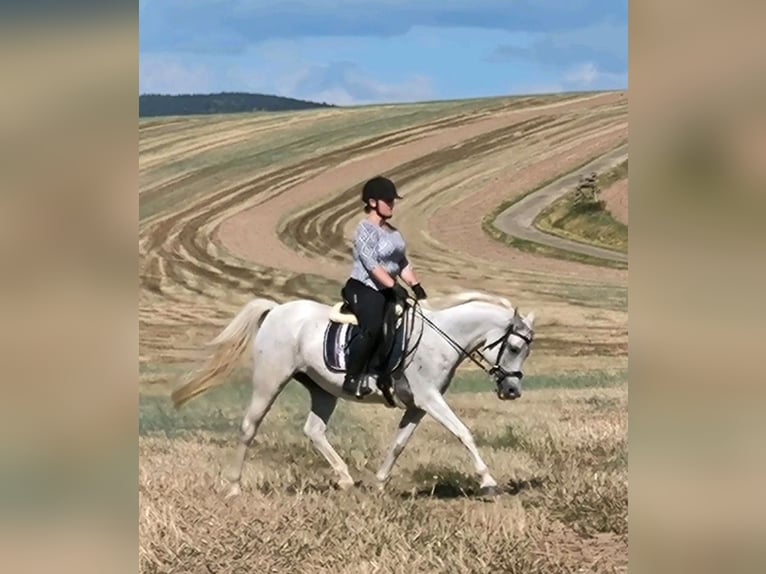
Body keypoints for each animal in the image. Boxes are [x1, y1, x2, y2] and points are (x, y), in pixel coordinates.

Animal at [171, 290, 536, 498]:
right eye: (514, 347)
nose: (512, 390)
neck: (440, 336)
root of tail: (276, 310)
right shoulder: (430, 399)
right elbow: (464, 433)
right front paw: (488, 482)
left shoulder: (418, 405)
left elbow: (399, 444)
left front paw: (379, 483)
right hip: (270, 380)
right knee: (250, 427)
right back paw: (233, 487)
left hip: (323, 389)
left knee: (314, 430)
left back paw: (346, 480)